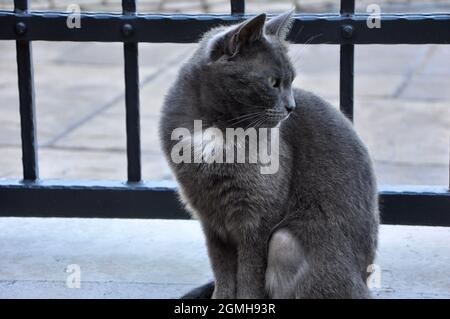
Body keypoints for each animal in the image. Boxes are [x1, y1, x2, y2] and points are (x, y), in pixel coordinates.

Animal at [160, 10, 378, 300]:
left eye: (291, 81)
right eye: (274, 83)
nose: (291, 106)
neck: (217, 127)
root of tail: (363, 285)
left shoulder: (258, 219)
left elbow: (249, 276)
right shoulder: (210, 219)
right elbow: (222, 272)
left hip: (284, 242)